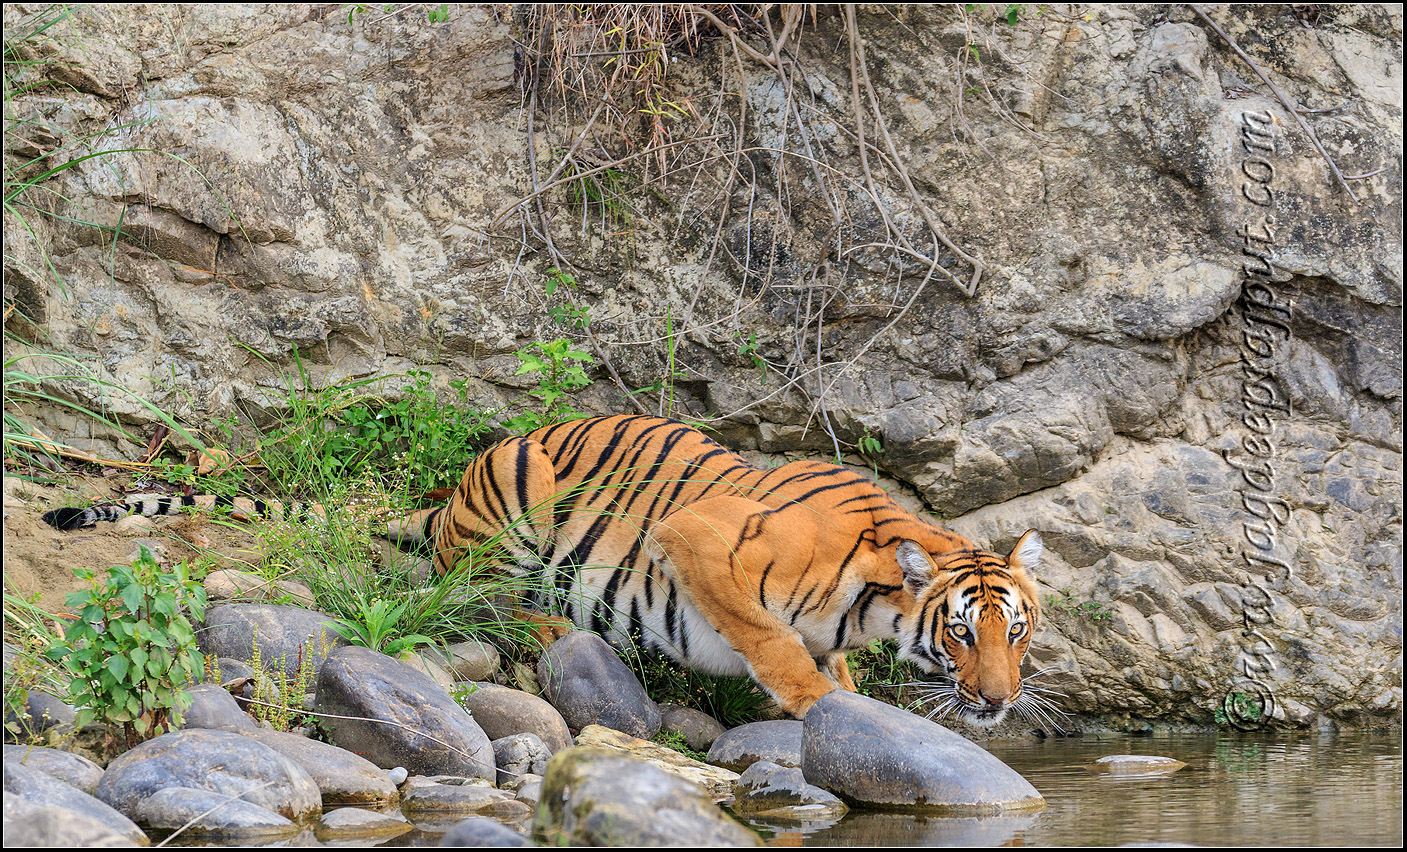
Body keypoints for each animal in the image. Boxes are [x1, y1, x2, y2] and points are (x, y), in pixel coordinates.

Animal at [388, 414, 1045, 726]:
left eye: (1016, 631)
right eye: (960, 632)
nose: (999, 700)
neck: (870, 610)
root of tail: (451, 499)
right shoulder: (696, 535)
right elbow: (770, 638)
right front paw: (816, 702)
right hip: (521, 474)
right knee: (475, 599)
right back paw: (549, 627)